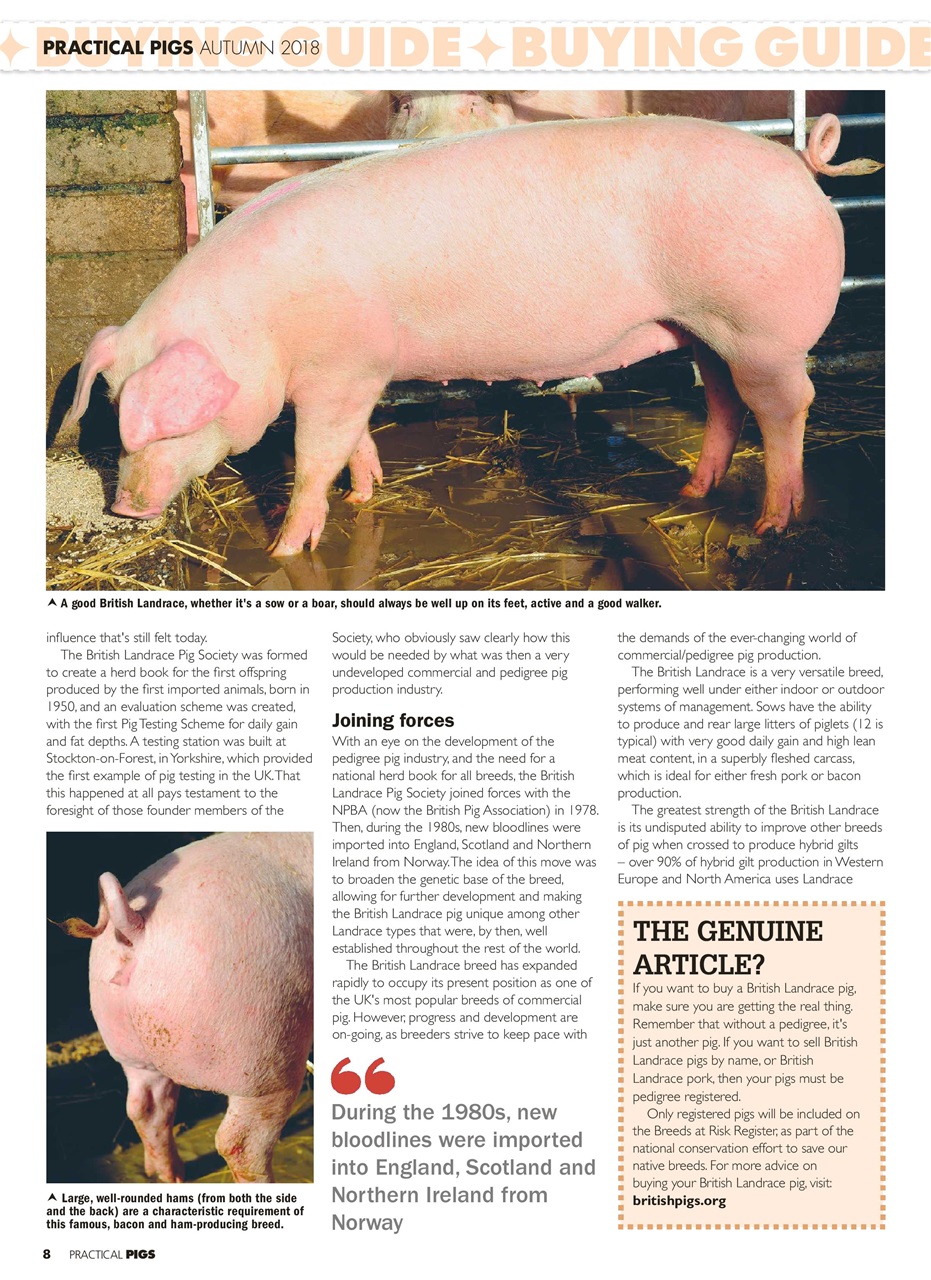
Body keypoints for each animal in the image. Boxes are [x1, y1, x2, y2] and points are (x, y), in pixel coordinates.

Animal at [61, 832, 313, 1183]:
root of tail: (136, 922)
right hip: (266, 1050)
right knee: (240, 1142)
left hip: (128, 1048)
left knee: (144, 1107)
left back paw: (170, 1176)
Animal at [64, 115, 879, 554]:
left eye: (164, 423)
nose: (124, 506)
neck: (263, 324)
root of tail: (796, 162)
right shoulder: (359, 373)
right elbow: (352, 444)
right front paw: (366, 496)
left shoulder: (339, 371)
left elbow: (313, 457)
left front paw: (286, 545)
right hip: (704, 329)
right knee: (721, 402)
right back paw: (689, 488)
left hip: (763, 331)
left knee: (786, 408)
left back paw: (772, 522)